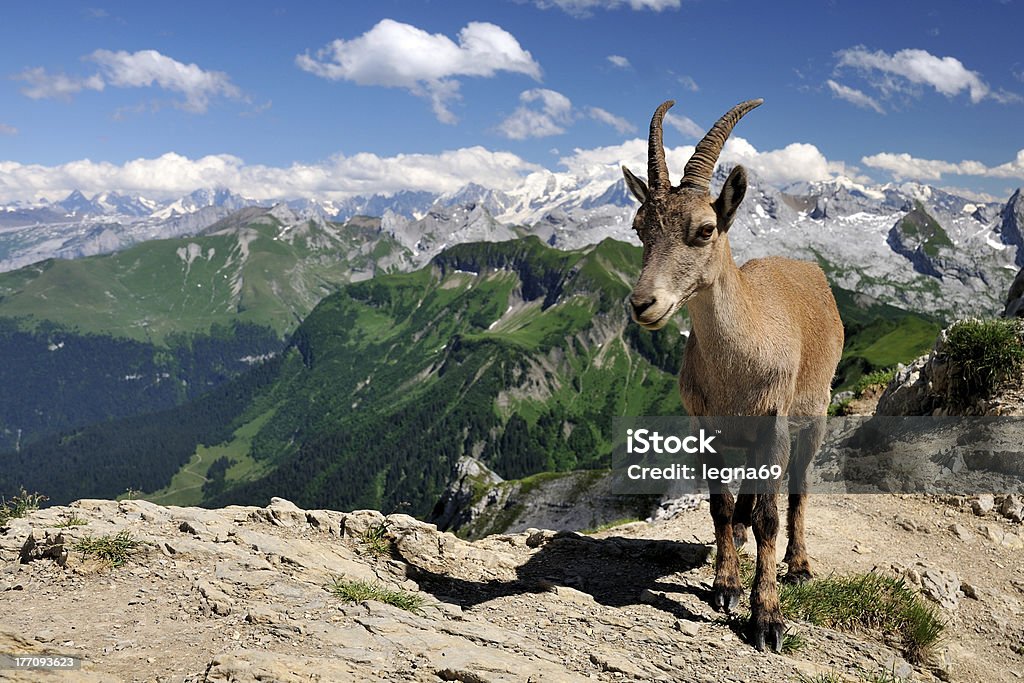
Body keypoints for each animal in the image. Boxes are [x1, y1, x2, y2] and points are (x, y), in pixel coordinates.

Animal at [618, 97, 843, 651]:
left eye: (704, 228)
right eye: (638, 226)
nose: (642, 304)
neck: (738, 365)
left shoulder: (774, 423)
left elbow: (770, 517)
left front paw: (766, 618)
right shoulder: (704, 426)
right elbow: (719, 506)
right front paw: (725, 586)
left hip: (815, 412)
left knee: (798, 488)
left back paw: (799, 564)